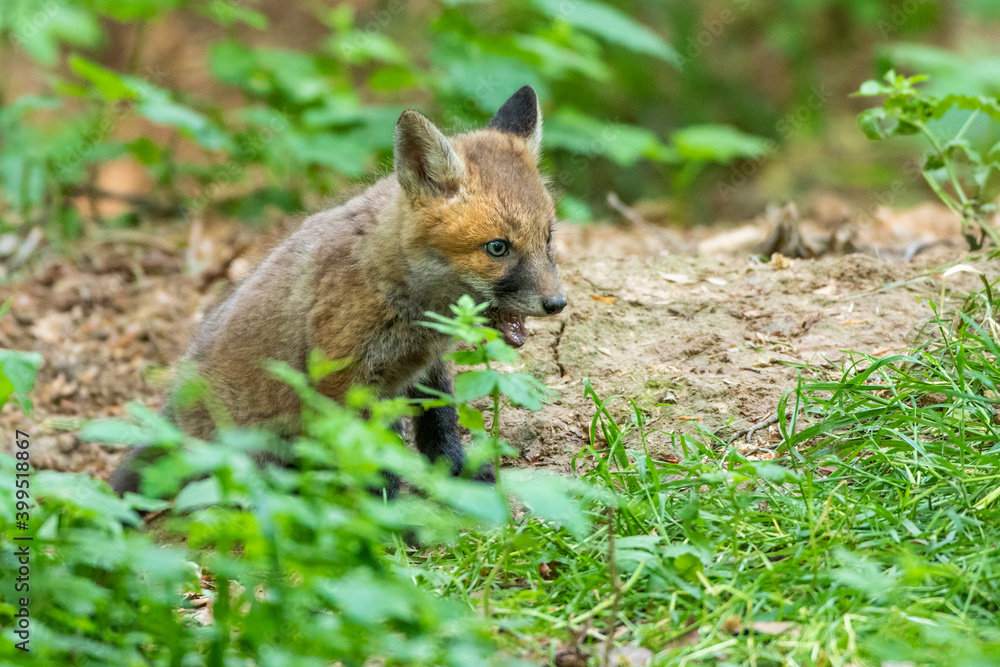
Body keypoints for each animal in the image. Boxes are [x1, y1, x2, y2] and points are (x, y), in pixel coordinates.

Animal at [113, 86, 568, 496]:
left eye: (547, 239)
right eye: (498, 248)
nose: (557, 304)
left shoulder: (425, 366)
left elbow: (439, 423)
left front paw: (456, 475)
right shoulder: (343, 378)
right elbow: (371, 457)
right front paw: (388, 519)